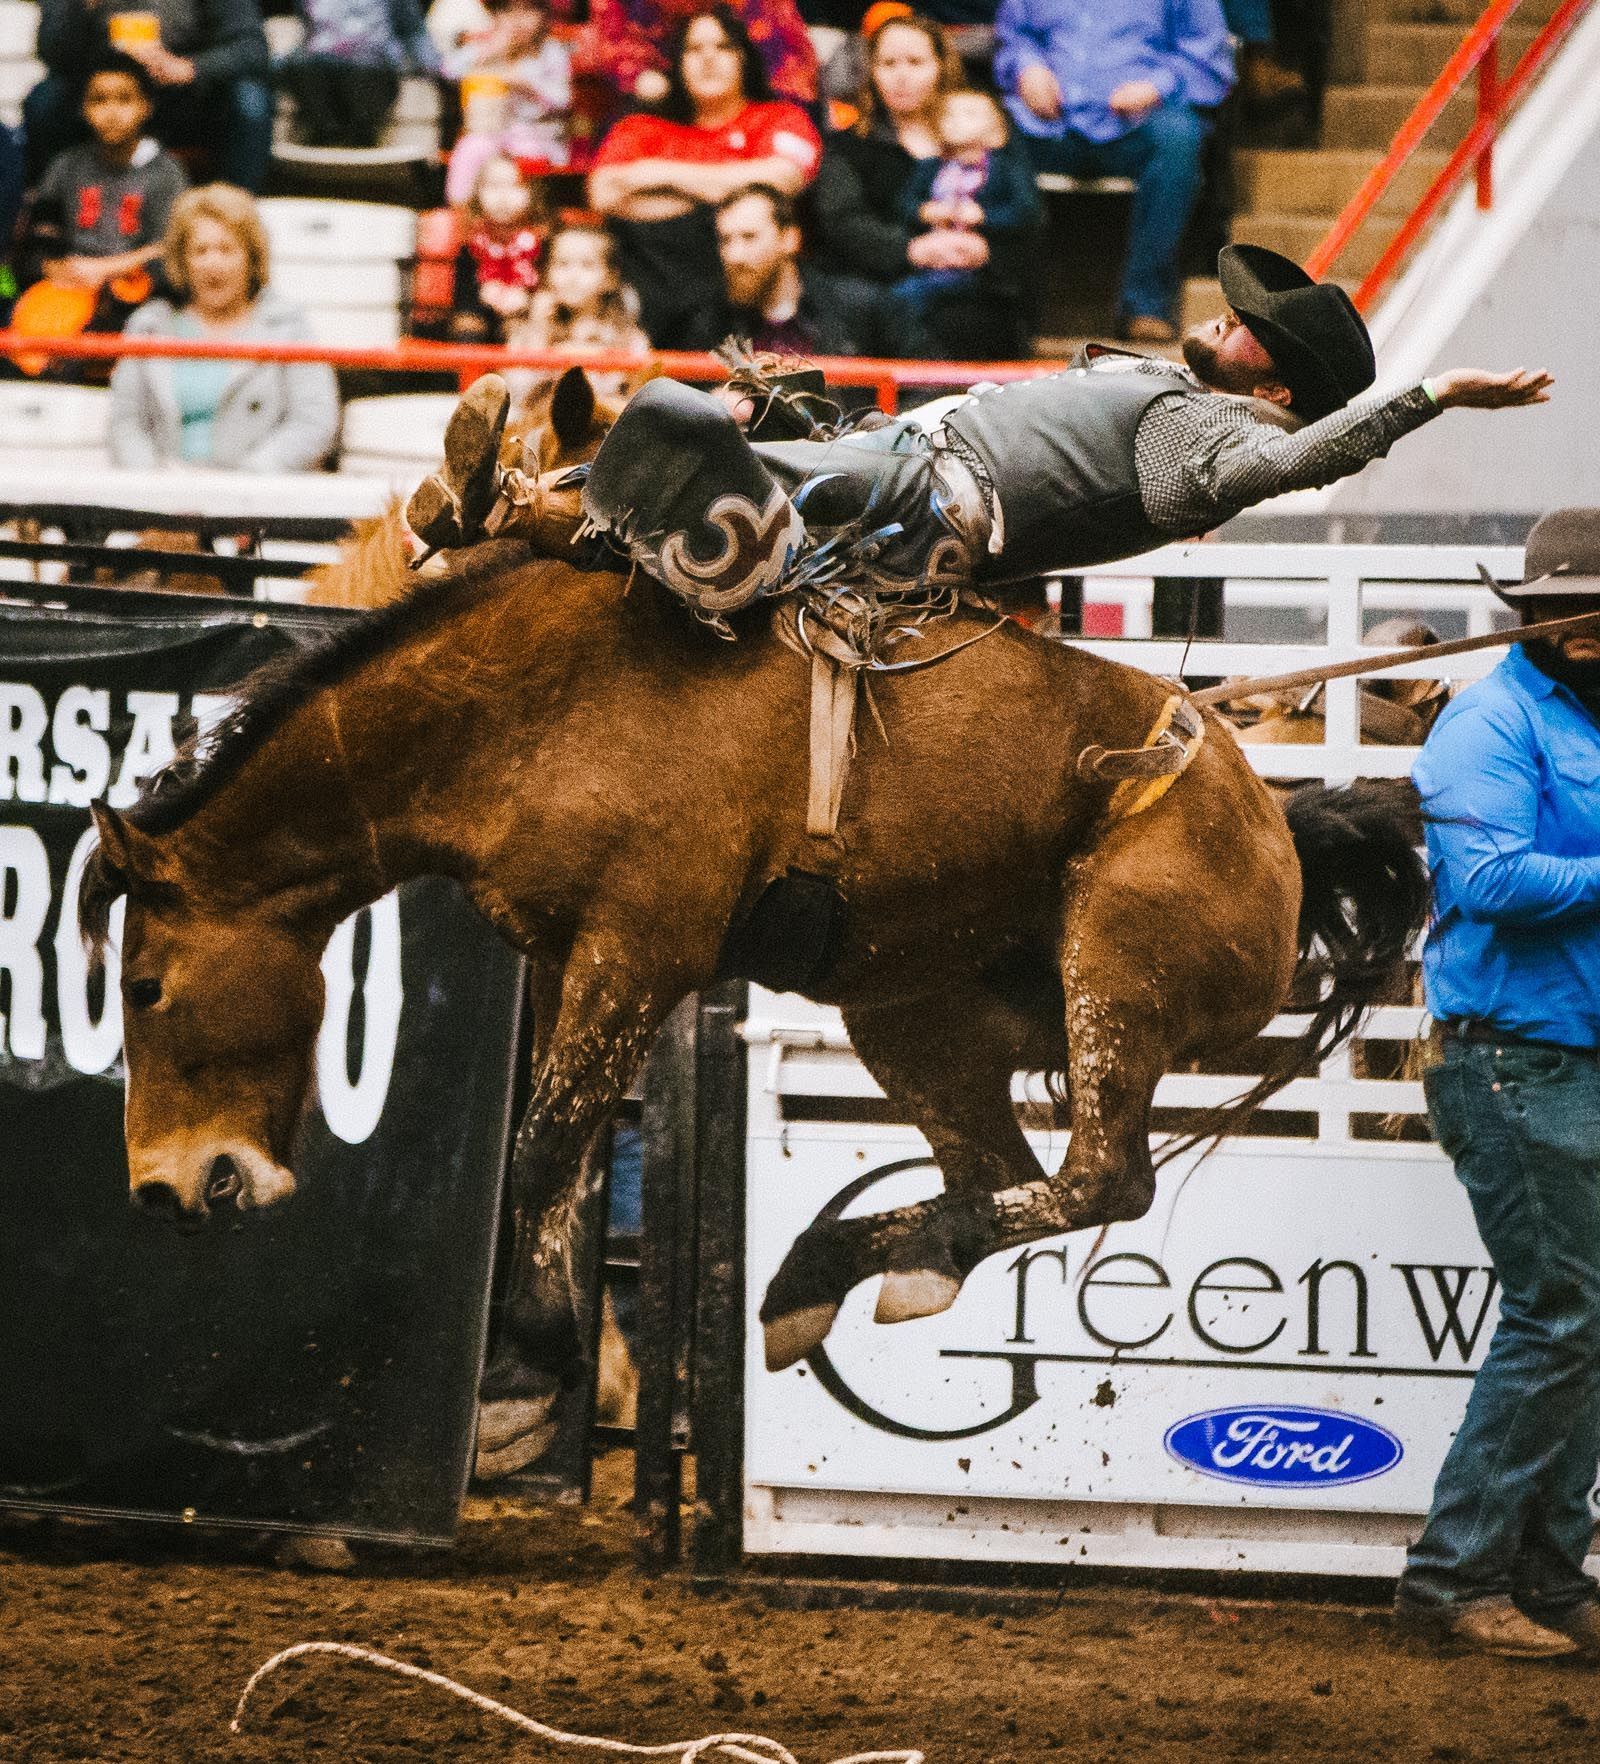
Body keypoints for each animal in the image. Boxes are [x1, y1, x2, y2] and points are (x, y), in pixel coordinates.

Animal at [78, 515, 1425, 1446]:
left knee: (1102, 1177)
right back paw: (866, 1272)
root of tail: (1273, 820)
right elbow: (559, 1160)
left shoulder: (636, 950)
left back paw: (823, 1269)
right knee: (994, 1172)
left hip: (1115, 975)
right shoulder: (570, 957)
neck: (525, 712)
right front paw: (540, 1371)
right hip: (913, 1014)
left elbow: (543, 1145)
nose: (162, 1189)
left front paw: (517, 1383)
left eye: (142, 987)